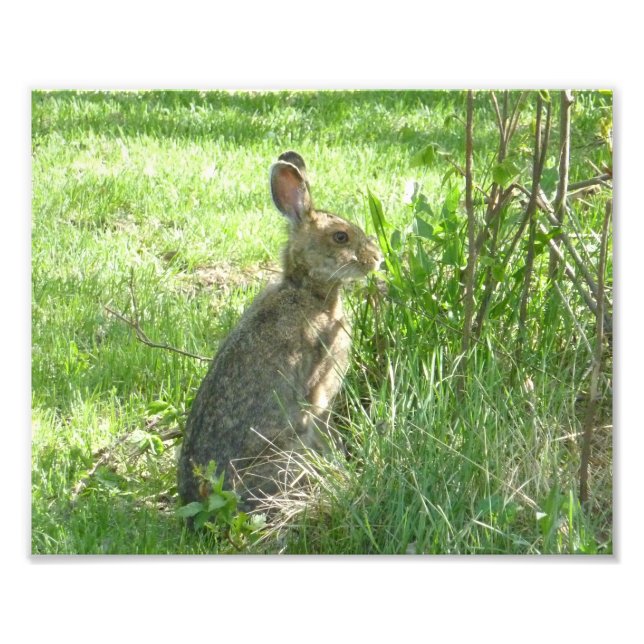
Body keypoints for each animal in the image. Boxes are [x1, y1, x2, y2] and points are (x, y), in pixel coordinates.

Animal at [177, 151, 382, 510]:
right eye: (340, 237)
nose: (377, 258)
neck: (306, 290)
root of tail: (205, 497)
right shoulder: (320, 393)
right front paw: (342, 468)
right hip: (289, 457)